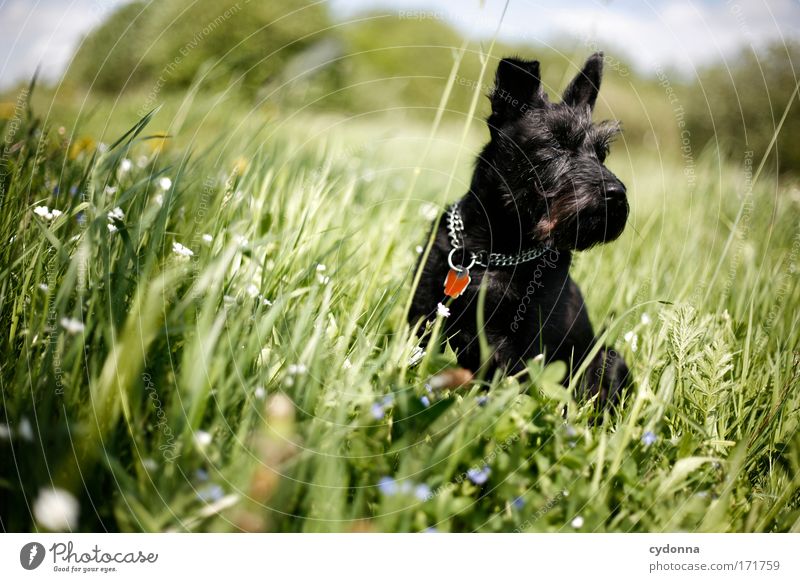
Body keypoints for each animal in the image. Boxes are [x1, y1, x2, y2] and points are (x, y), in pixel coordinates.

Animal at [412, 52, 632, 408]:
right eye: (556, 143)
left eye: (602, 153)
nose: (616, 195)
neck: (496, 247)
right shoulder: (423, 314)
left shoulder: (518, 345)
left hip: (609, 359)